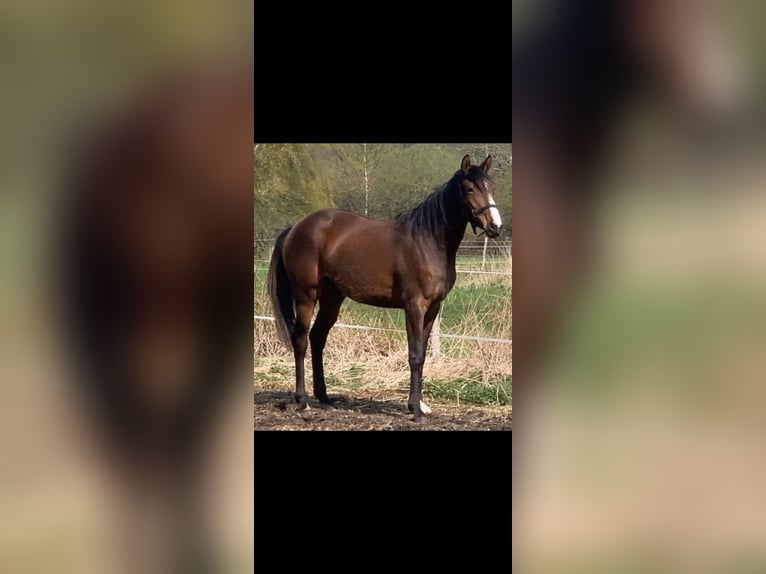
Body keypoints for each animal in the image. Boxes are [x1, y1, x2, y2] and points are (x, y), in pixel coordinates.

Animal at [268, 155, 504, 420]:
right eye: (470, 188)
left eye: (492, 187)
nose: (495, 227)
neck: (428, 241)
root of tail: (295, 228)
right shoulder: (414, 306)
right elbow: (415, 355)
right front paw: (415, 409)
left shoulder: (433, 307)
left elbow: (422, 354)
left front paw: (420, 405)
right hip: (306, 296)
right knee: (300, 341)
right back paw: (302, 400)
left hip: (332, 297)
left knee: (318, 337)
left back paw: (325, 398)